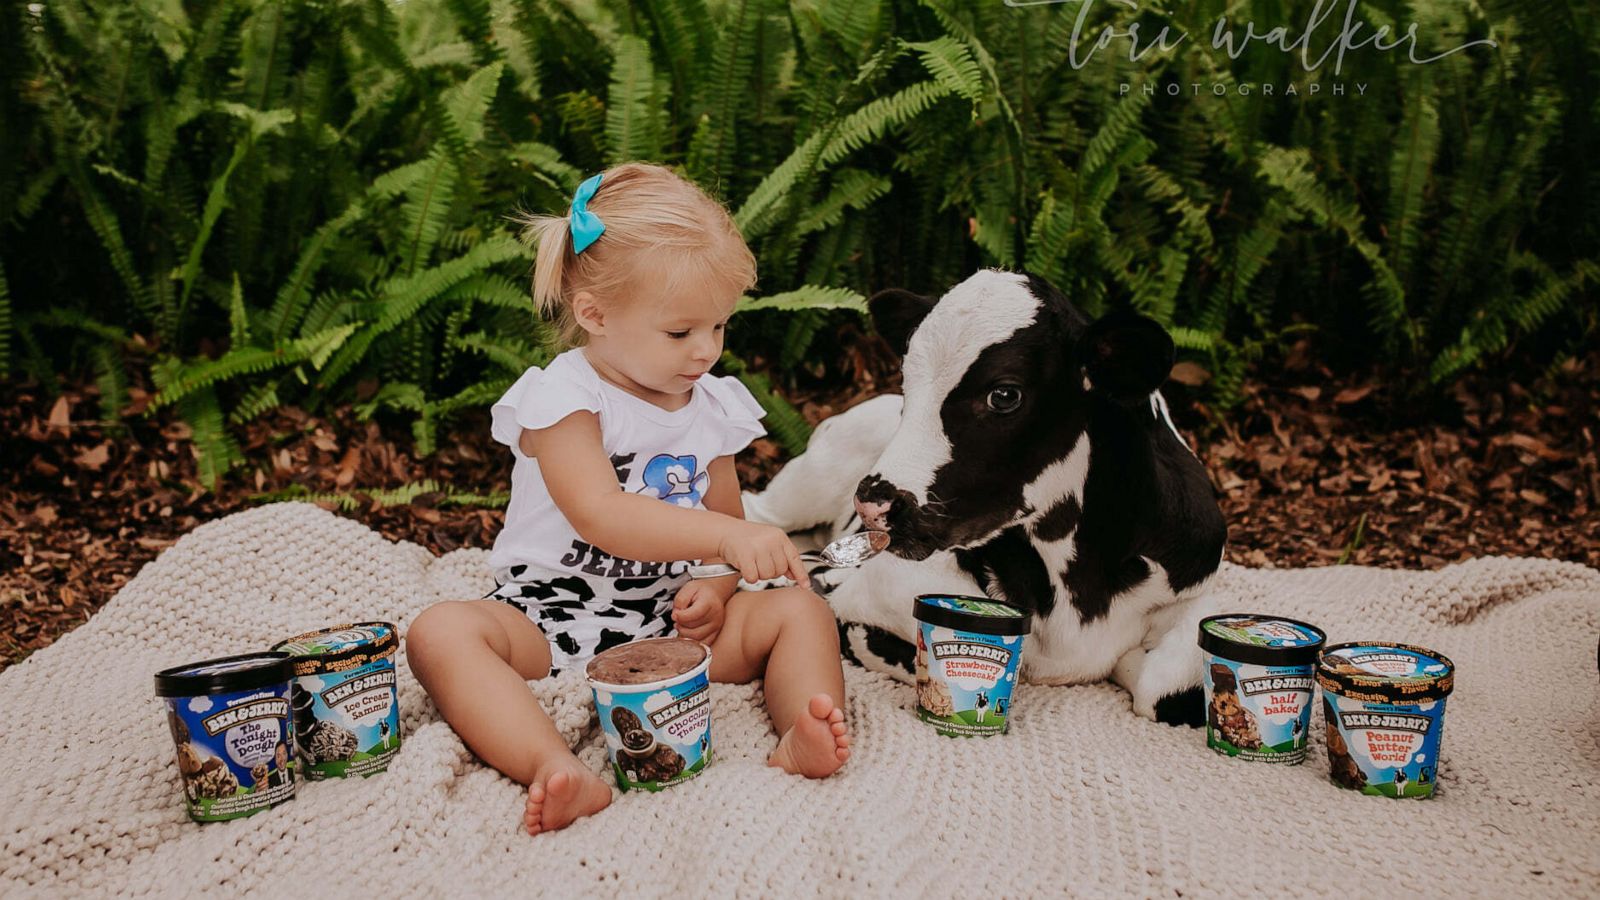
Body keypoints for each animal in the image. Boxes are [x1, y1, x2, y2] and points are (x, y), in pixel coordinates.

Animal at [745, 265, 1222, 720]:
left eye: (1005, 394)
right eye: (907, 382)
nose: (873, 503)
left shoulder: (1198, 583)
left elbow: (1161, 686)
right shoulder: (886, 579)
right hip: (814, 476)